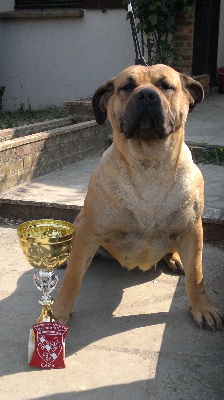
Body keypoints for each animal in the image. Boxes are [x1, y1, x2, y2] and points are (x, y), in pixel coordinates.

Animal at [52, 64, 222, 330]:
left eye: (166, 86)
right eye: (127, 87)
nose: (146, 95)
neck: (149, 164)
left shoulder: (192, 229)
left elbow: (197, 273)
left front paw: (202, 307)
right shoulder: (90, 230)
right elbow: (74, 274)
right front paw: (59, 311)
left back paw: (175, 259)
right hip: (81, 223)